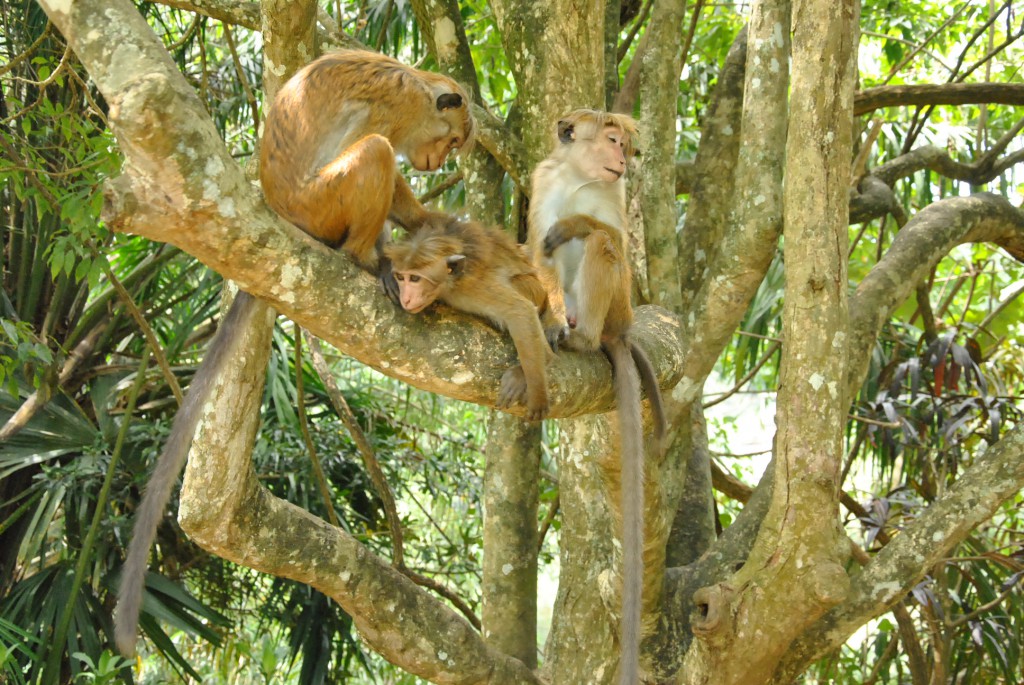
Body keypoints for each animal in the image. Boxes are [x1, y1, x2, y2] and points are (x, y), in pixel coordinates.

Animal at [382, 219, 561, 421]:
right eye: (400, 277)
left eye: (414, 278)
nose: (405, 298)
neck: (450, 285)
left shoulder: (474, 288)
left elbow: (521, 311)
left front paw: (537, 394)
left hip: (533, 289)